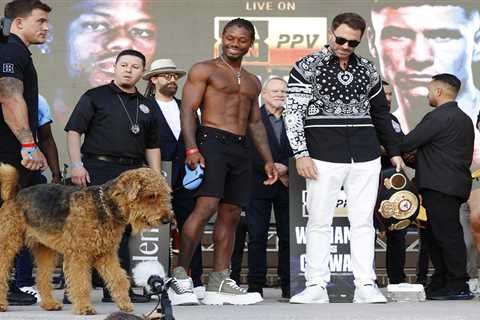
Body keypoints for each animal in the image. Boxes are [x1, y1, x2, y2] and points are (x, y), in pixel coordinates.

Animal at [0, 164, 172, 316]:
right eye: (151, 195)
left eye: (165, 194)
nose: (167, 220)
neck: (106, 206)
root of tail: (15, 194)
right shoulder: (79, 254)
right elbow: (81, 282)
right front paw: (85, 308)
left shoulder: (106, 253)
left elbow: (118, 278)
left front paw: (125, 304)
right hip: (8, 244)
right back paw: (3, 305)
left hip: (46, 250)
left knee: (43, 278)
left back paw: (50, 304)